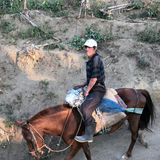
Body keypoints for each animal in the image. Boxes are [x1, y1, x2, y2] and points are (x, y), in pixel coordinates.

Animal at [15, 88, 155, 159]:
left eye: (29, 139)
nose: (35, 155)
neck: (65, 121)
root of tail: (138, 90)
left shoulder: (76, 145)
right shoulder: (83, 142)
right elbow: (88, 154)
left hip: (134, 117)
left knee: (134, 135)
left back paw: (127, 154)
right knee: (139, 129)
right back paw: (142, 141)